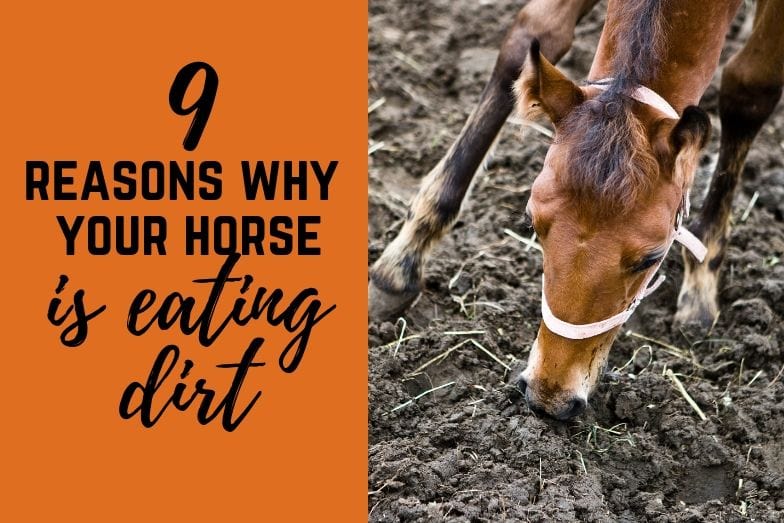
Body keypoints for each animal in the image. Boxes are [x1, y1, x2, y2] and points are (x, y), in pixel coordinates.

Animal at [369, 0, 784, 420]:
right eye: (532, 224)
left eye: (651, 258)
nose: (549, 397)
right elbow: (531, 36)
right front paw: (398, 265)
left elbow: (749, 91)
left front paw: (702, 278)